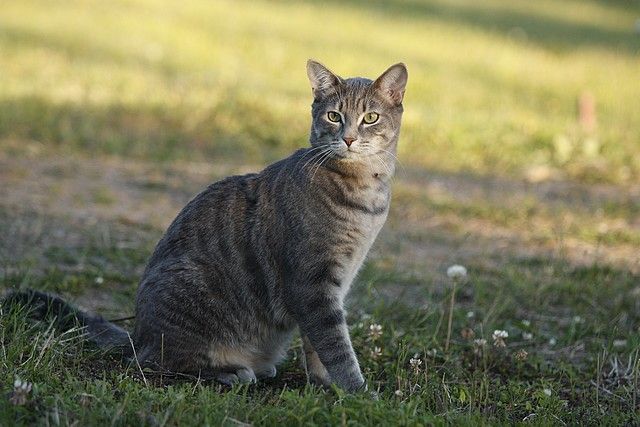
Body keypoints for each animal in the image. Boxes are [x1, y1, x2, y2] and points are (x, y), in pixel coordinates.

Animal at [7, 59, 408, 392]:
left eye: (370, 118)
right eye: (334, 116)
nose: (349, 137)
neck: (364, 193)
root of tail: (138, 334)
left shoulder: (332, 286)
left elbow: (319, 347)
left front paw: (327, 386)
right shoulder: (312, 284)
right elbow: (336, 346)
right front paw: (357, 392)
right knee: (156, 363)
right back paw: (231, 371)